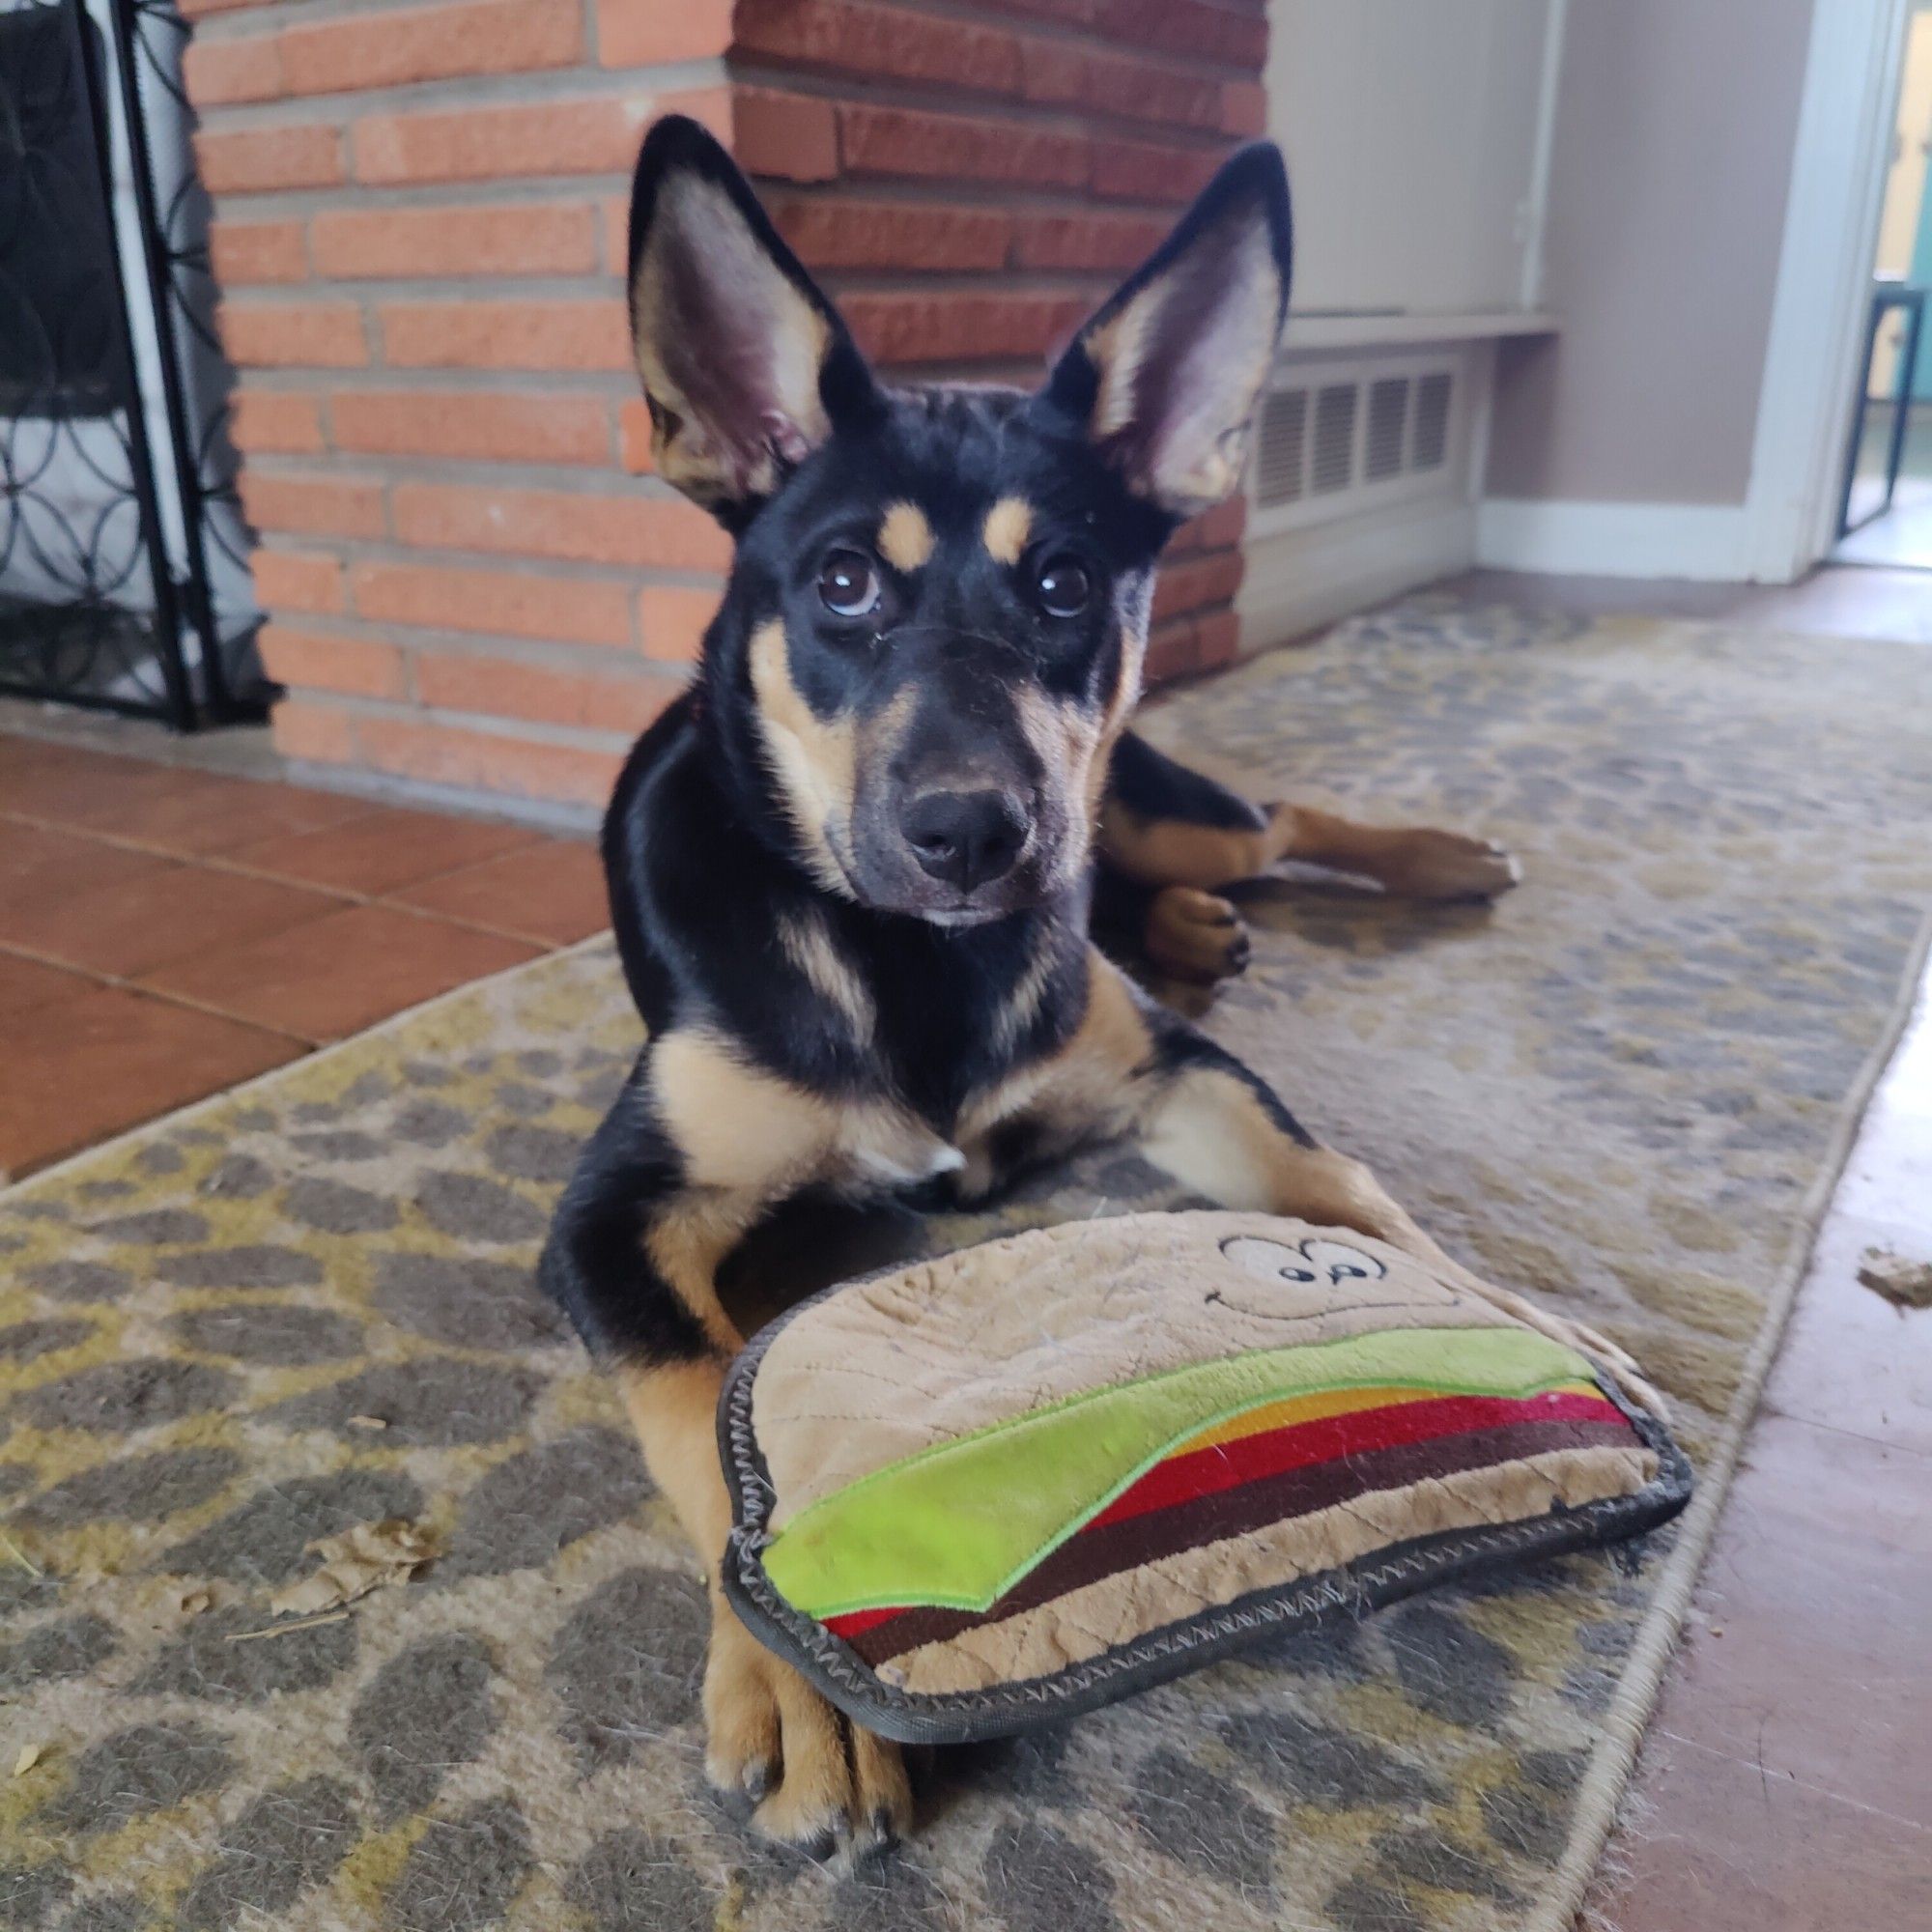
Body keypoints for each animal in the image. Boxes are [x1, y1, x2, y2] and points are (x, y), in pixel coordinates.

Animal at [537, 117, 1546, 1855]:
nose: (969, 835)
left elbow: (1339, 1182)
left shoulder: (1176, 1070)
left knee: (1283, 821)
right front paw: (800, 1684)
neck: (913, 956)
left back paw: (1428, 860)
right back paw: (1208, 920)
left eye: (1070, 583)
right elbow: (703, 1407)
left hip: (1153, 798)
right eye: (842, 585)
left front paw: (1498, 1317)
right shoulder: (614, 1215)